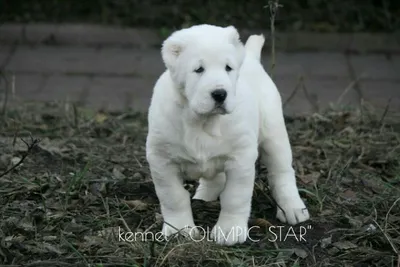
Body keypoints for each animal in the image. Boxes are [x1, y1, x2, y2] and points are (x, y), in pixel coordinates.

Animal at [145, 25, 310, 247]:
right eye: (199, 69)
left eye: (228, 68)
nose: (220, 94)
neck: (203, 121)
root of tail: (250, 57)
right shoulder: (161, 160)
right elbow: (173, 196)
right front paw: (180, 230)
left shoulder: (240, 159)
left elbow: (234, 197)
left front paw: (229, 230)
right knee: (215, 177)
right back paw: (204, 195)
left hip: (273, 135)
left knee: (282, 173)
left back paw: (292, 207)